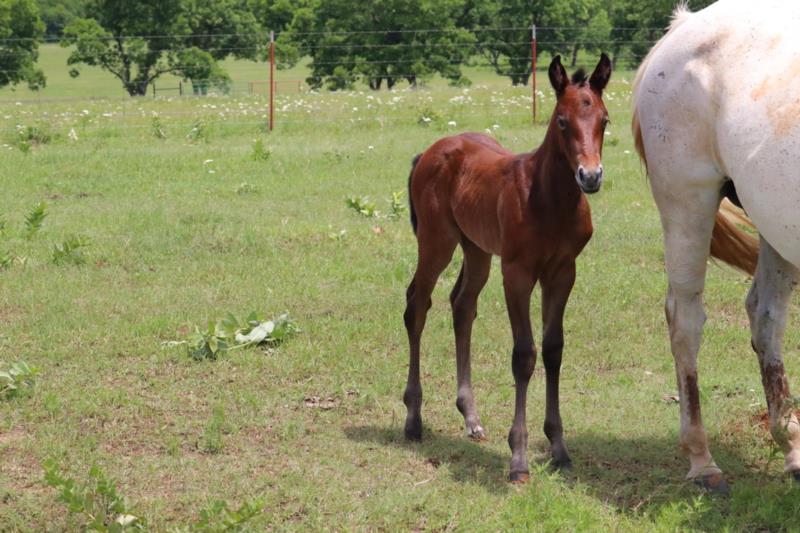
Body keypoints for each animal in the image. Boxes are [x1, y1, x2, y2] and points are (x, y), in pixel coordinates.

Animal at [403, 54, 612, 481]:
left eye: (604, 119)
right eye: (561, 120)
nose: (590, 176)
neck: (549, 200)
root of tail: (432, 149)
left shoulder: (562, 272)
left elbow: (553, 349)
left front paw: (559, 448)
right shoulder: (517, 272)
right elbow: (523, 355)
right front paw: (518, 458)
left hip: (477, 249)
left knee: (462, 304)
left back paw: (471, 418)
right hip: (436, 242)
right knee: (417, 304)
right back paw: (413, 418)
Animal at [632, 0, 800, 491]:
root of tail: (684, 25)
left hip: (773, 222)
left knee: (766, 317)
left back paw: (792, 446)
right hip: (688, 202)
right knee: (685, 320)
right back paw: (702, 461)